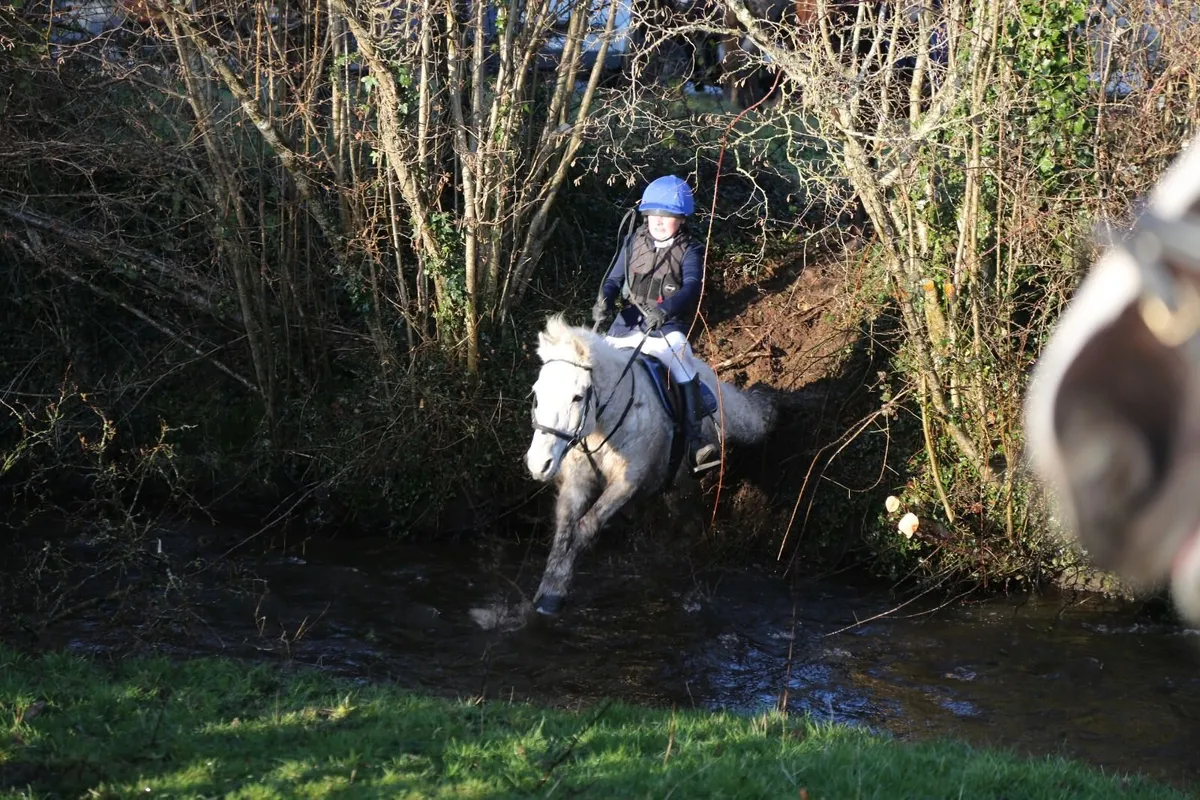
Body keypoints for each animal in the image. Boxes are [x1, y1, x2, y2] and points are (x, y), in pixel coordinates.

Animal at [525, 315, 777, 615]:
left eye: (577, 397)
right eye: (537, 393)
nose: (539, 463)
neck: (603, 424)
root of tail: (708, 375)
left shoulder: (627, 480)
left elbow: (586, 525)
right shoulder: (577, 482)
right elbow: (564, 530)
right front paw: (550, 590)